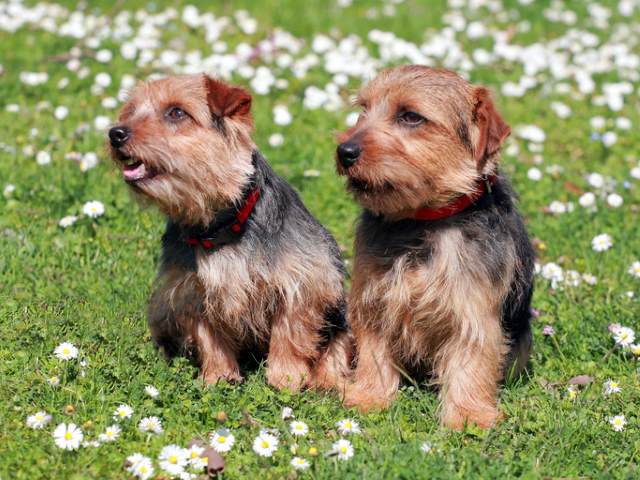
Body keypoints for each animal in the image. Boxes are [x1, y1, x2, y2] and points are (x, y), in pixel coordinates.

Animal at [109, 74, 350, 390]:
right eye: (130, 111)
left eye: (176, 112)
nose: (115, 133)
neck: (219, 229)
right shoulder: (193, 292)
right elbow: (209, 337)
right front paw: (218, 377)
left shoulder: (303, 281)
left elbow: (289, 332)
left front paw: (285, 379)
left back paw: (328, 382)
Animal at [336, 65, 536, 430]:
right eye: (363, 110)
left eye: (411, 116)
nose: (345, 151)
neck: (423, 221)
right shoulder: (374, 299)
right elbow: (374, 351)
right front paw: (369, 396)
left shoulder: (472, 309)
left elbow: (471, 360)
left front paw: (469, 416)